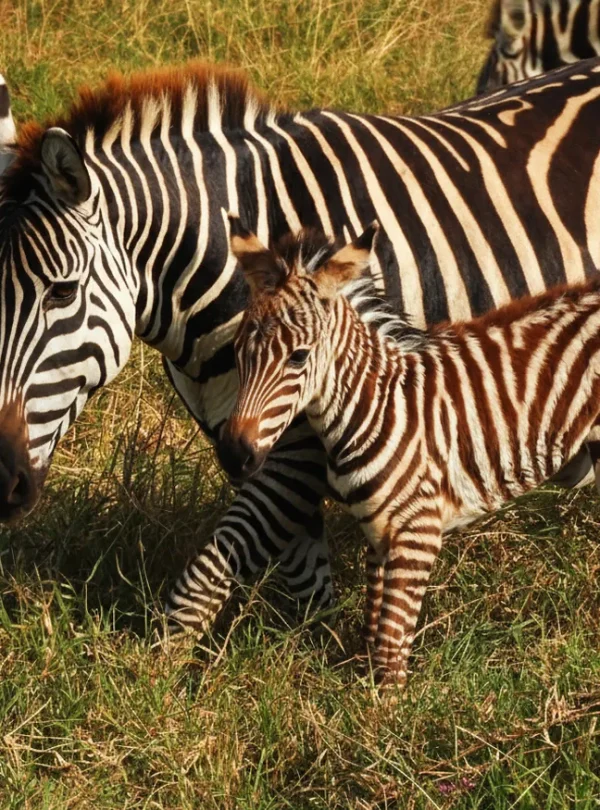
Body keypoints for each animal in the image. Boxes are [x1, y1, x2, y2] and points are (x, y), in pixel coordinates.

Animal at [1, 60, 600, 636]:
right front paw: (310, 650)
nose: (2, 483)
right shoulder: (245, 439)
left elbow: (206, 576)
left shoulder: (312, 438)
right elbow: (301, 571)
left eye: (62, 292)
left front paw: (159, 666)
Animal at [220, 220, 600, 685]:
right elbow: (377, 637)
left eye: (298, 357)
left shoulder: (419, 531)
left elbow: (390, 650)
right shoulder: (379, 533)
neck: (377, 406)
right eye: (236, 351)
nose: (234, 455)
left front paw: (388, 703)